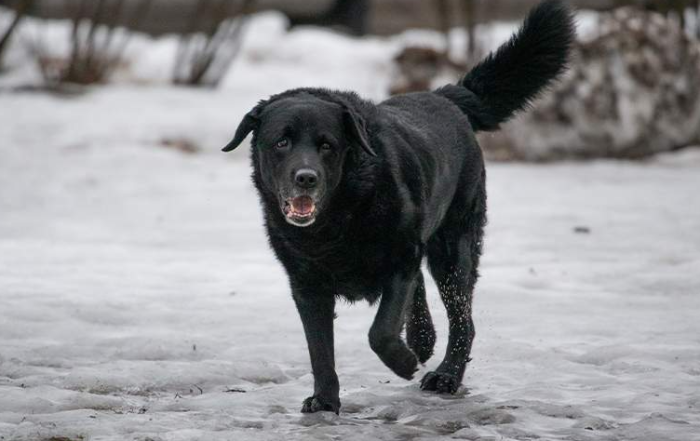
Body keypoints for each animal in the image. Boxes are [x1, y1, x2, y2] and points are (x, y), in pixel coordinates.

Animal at [224, 0, 576, 412]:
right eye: (282, 142)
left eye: (327, 145)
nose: (306, 177)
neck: (338, 217)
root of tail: (447, 96)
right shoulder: (307, 285)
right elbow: (319, 349)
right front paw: (325, 400)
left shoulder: (398, 258)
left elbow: (380, 330)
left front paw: (403, 361)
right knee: (422, 290)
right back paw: (423, 341)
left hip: (453, 248)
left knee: (461, 317)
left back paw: (445, 375)